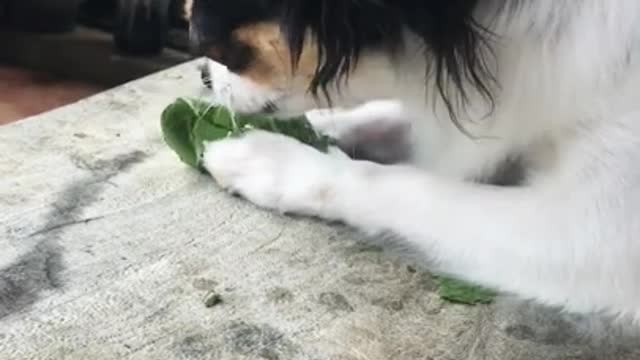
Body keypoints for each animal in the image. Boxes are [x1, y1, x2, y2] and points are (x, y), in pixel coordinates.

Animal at [181, 0, 640, 320]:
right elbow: (385, 122)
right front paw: (319, 129)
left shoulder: (595, 235)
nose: (202, 73)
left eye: (215, 42)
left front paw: (269, 160)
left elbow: (399, 182)